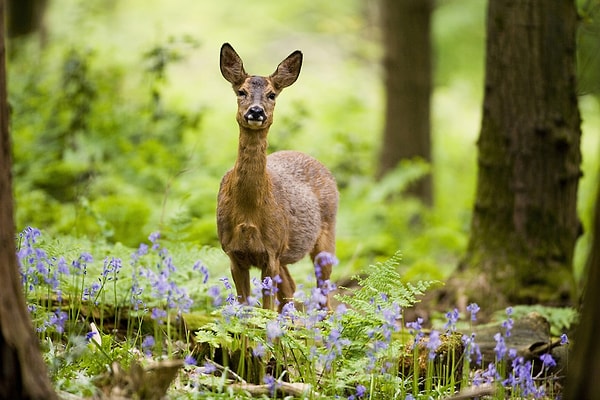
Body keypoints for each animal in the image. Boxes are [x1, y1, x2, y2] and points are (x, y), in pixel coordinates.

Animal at [216, 44, 338, 312]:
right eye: (241, 91)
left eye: (272, 95)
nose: (256, 111)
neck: (248, 211)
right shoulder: (233, 253)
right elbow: (246, 310)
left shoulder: (270, 252)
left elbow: (266, 311)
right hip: (284, 254)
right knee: (291, 290)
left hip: (326, 235)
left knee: (324, 297)